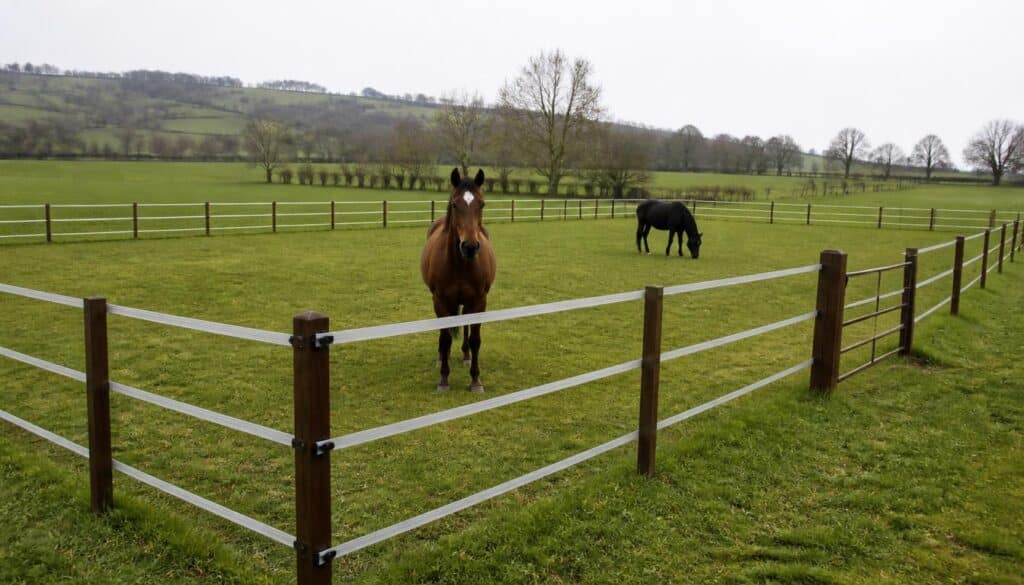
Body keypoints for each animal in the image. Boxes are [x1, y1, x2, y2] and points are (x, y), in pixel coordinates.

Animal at [421, 168, 497, 392]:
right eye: (455, 204)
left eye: (482, 204)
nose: (470, 246)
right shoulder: (440, 300)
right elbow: (446, 337)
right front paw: (444, 379)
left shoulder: (479, 301)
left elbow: (475, 339)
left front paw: (475, 380)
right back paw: (441, 357)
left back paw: (466, 356)